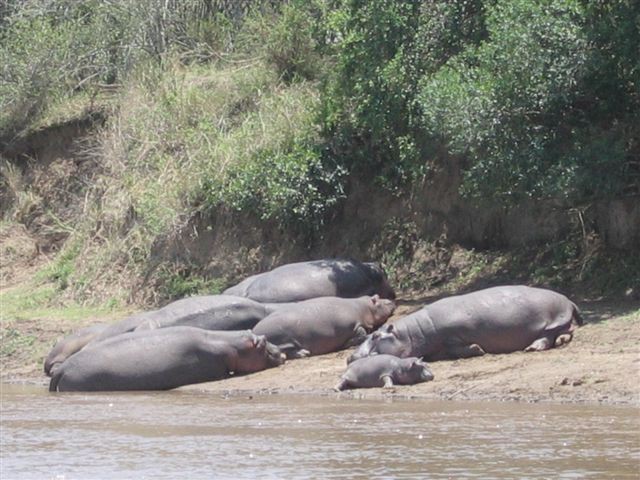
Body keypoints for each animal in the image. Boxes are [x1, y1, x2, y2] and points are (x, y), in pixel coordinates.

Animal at [251, 294, 396, 358]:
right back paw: (304, 353)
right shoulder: (354, 325)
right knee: (287, 351)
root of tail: (254, 331)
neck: (365, 307)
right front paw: (348, 343)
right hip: (285, 339)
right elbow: (362, 333)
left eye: (377, 295)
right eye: (377, 301)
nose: (391, 300)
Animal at [348, 284, 584, 360]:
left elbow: (456, 346)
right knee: (565, 332)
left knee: (552, 335)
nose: (350, 356)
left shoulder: (453, 334)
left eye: (376, 335)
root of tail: (567, 299)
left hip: (554, 319)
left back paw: (533, 348)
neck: (411, 334)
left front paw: (478, 349)